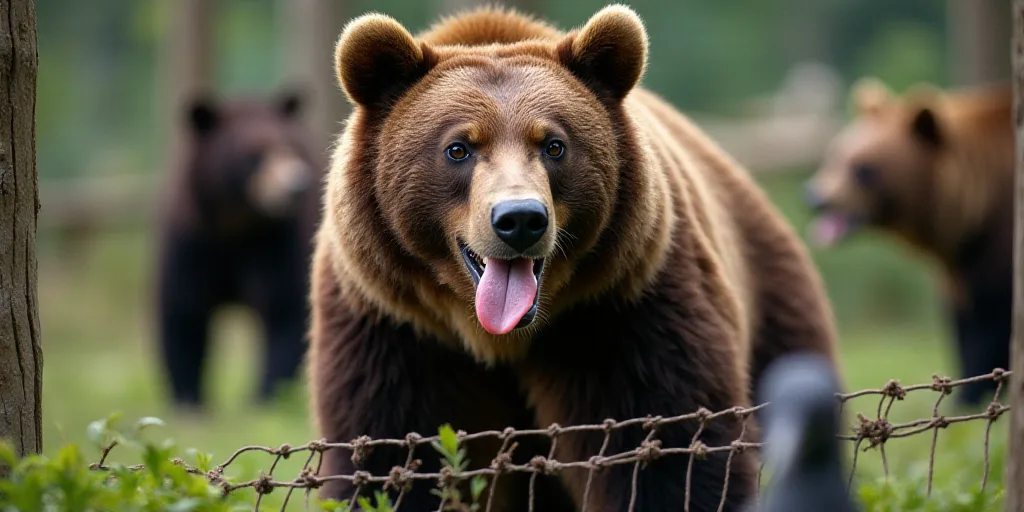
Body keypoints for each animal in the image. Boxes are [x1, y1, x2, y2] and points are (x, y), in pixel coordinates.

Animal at [156, 89, 324, 410]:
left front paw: (264, 396)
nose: (295, 185)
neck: (237, 224)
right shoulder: (192, 241)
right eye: (254, 155)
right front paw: (189, 399)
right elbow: (185, 311)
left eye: (288, 148)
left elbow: (283, 308)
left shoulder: (275, 242)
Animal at [308, 6, 840, 511]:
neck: (502, 338)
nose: (520, 219)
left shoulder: (621, 314)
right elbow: (392, 457)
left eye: (554, 144)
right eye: (458, 148)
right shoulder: (395, 331)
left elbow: (664, 456)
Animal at [804, 78, 1014, 407]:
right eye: (835, 154)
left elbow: (990, 321)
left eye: (864, 168)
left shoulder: (997, 246)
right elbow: (964, 321)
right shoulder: (961, 267)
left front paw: (971, 392)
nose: (816, 197)